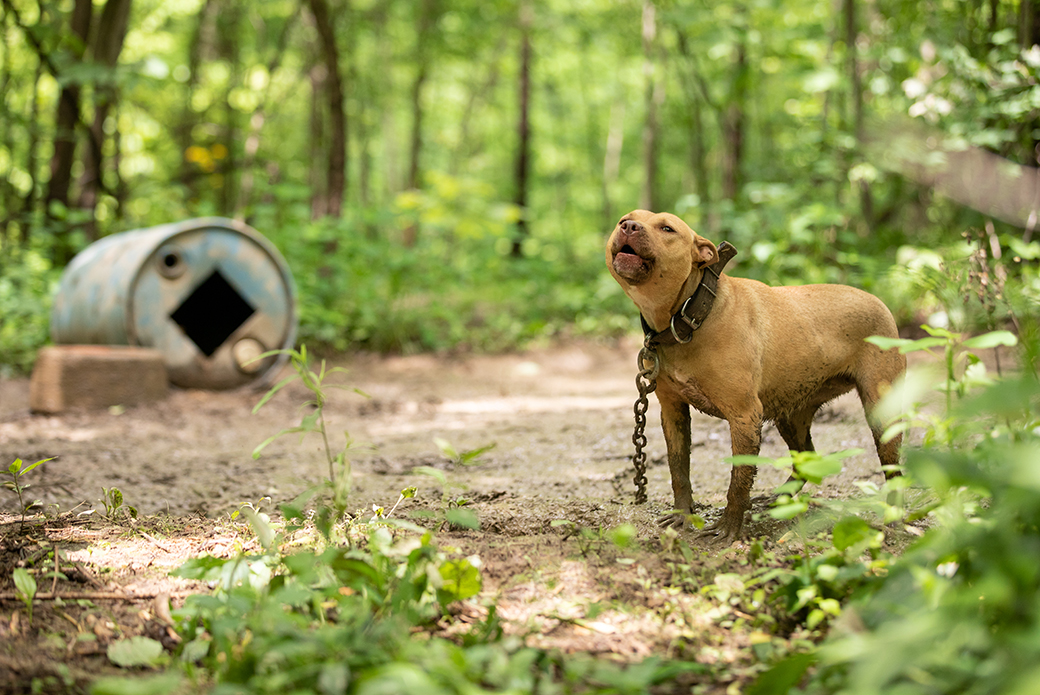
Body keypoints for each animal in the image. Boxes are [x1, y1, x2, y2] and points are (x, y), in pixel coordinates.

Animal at [607, 209, 906, 545]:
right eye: (625, 219)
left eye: (667, 229)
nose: (629, 226)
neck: (691, 315)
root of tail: (881, 303)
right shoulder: (673, 411)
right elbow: (678, 469)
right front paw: (683, 515)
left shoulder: (745, 417)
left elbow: (739, 480)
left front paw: (729, 528)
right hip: (791, 414)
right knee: (806, 455)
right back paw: (779, 498)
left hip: (881, 414)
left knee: (893, 469)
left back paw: (894, 520)